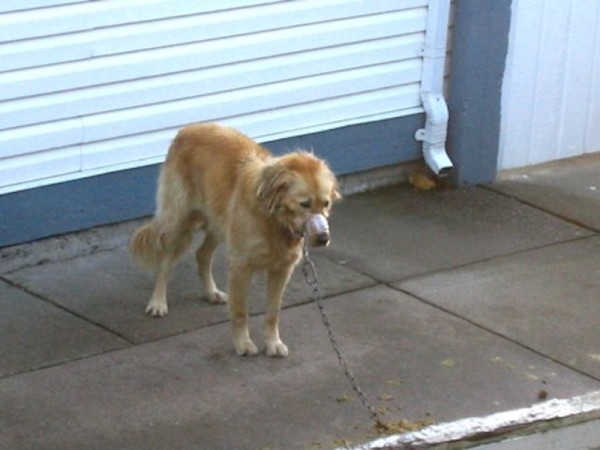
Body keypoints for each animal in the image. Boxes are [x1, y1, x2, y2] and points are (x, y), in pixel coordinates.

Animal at [129, 121, 340, 356]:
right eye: (304, 204)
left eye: (326, 204)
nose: (323, 238)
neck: (273, 219)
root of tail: (188, 129)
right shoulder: (241, 266)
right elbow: (240, 312)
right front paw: (243, 343)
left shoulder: (281, 270)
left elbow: (273, 312)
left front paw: (272, 343)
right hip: (178, 220)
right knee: (166, 262)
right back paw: (158, 301)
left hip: (219, 223)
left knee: (202, 254)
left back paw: (211, 292)